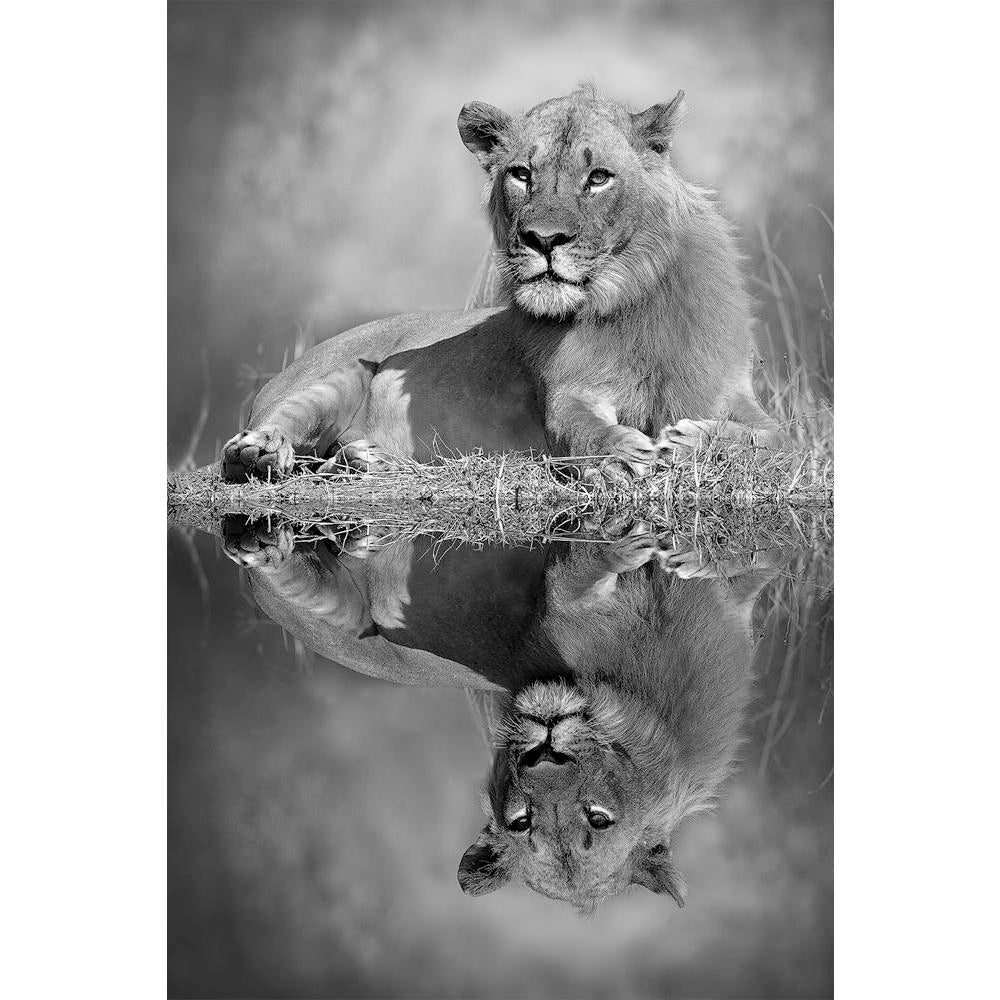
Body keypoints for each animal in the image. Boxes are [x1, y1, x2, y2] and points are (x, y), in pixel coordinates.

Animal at [220, 83, 780, 482]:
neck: (626, 298)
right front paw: (621, 455)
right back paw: (262, 451)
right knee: (274, 434)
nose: (543, 239)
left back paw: (368, 457)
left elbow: (771, 441)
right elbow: (581, 428)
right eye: (522, 174)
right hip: (342, 372)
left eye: (598, 177)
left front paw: (689, 441)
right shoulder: (566, 395)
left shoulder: (732, 394)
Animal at [224, 520, 782, 910]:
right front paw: (626, 544)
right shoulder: (564, 611)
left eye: (598, 819)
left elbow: (752, 563)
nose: (544, 752)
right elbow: (579, 576)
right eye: (521, 822)